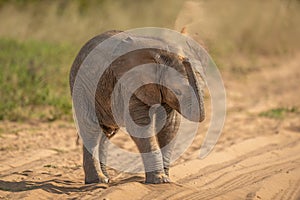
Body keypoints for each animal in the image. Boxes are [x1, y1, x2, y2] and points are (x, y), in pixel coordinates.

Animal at [69, 30, 205, 184]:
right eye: (178, 91)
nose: (186, 59)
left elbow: (170, 126)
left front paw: (166, 179)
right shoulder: (130, 85)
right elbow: (140, 127)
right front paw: (160, 180)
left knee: (105, 133)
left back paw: (105, 179)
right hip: (81, 87)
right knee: (91, 128)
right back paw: (99, 180)